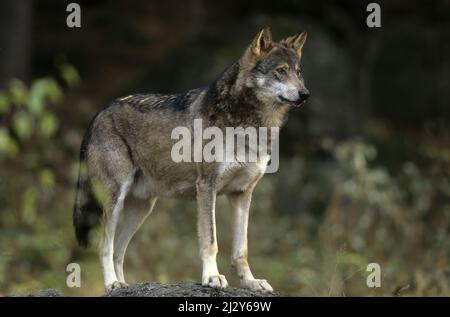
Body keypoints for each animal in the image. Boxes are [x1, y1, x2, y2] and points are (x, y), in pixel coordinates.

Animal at [74, 27, 312, 292]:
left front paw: (251, 282)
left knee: (118, 250)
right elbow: (211, 240)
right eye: (280, 71)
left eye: (298, 72)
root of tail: (99, 113)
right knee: (104, 246)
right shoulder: (206, 187)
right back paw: (112, 284)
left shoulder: (242, 193)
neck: (250, 124)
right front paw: (212, 277)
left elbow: (241, 249)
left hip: (142, 208)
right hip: (115, 200)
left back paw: (125, 284)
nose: (305, 94)